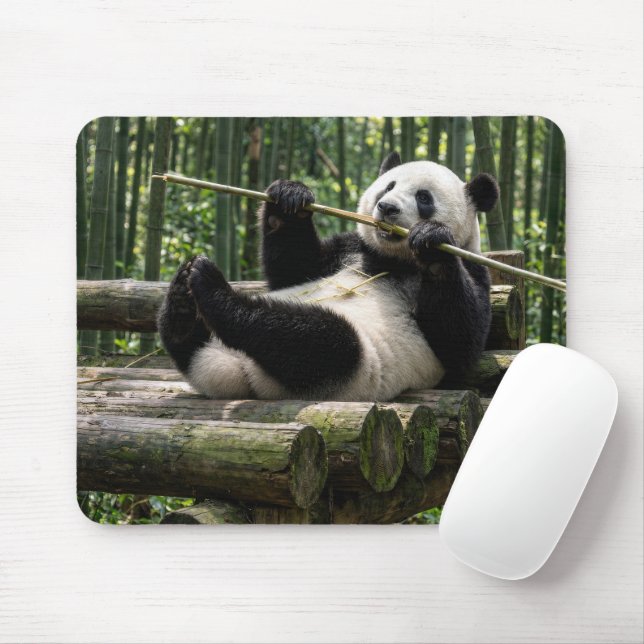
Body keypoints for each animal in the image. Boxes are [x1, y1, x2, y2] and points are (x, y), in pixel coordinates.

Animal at [157, 152, 499, 402]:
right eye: (388, 186)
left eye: (424, 198)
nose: (386, 207)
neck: (392, 259)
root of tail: (238, 371)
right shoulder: (348, 250)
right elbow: (293, 268)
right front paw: (289, 198)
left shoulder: (473, 270)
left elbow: (459, 342)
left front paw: (431, 240)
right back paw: (182, 304)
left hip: (355, 366)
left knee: (314, 338)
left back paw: (213, 290)